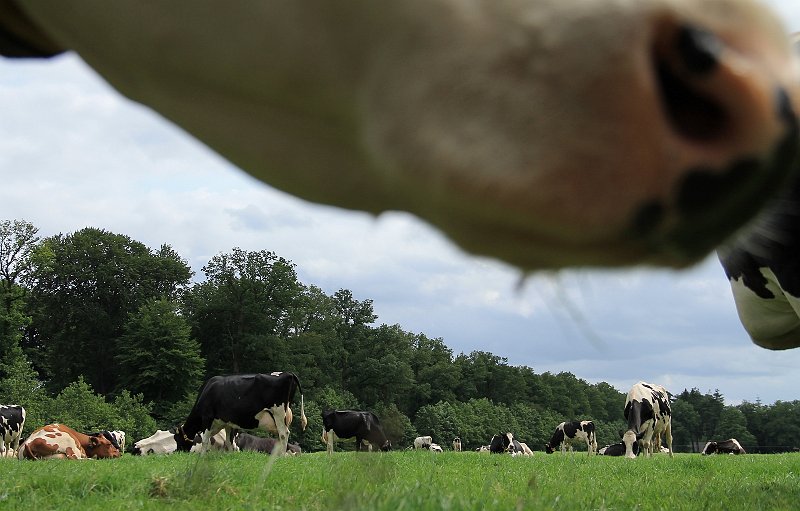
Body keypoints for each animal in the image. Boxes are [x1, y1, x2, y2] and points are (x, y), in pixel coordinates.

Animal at [175, 372, 306, 456]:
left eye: (177, 438)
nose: (177, 452)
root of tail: (288, 374)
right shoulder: (227, 423)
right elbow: (229, 442)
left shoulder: (207, 417)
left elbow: (205, 440)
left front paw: (201, 456)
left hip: (278, 412)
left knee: (284, 434)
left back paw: (281, 456)